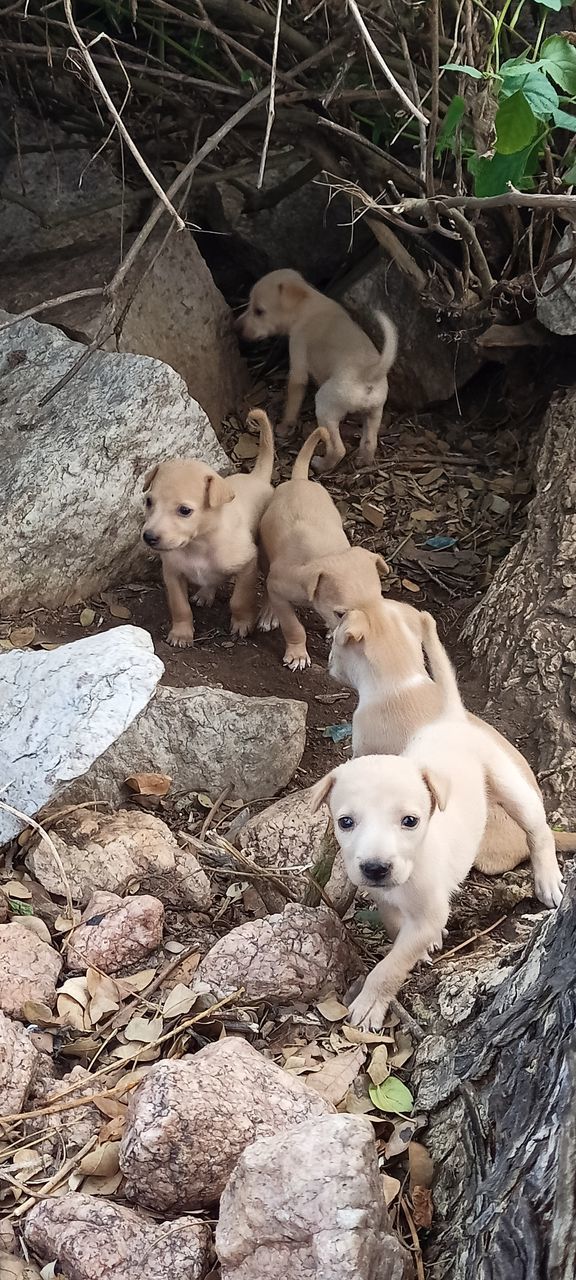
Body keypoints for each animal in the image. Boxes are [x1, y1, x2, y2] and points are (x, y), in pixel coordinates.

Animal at [140, 409, 273, 645]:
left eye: (185, 510)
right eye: (148, 501)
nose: (149, 537)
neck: (199, 544)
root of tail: (257, 477)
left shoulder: (248, 565)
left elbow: (240, 599)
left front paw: (242, 624)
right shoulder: (172, 572)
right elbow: (180, 606)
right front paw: (181, 633)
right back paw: (205, 593)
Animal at [238, 267, 396, 473]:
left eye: (259, 311)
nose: (236, 327)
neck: (307, 302)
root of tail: (369, 372)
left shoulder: (297, 357)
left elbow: (293, 399)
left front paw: (284, 427)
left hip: (325, 407)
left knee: (338, 449)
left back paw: (321, 464)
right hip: (374, 412)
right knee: (370, 443)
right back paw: (363, 461)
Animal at [258, 427, 389, 675]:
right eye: (340, 613)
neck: (327, 554)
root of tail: (299, 479)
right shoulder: (280, 586)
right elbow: (293, 625)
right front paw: (298, 655)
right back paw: (269, 614)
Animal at [312, 721, 565, 1029]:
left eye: (410, 821)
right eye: (345, 822)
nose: (375, 868)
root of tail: (455, 721)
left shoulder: (430, 914)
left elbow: (391, 966)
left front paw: (371, 1002)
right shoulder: (385, 901)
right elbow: (397, 930)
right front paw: (421, 948)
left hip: (512, 788)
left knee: (540, 831)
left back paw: (548, 880)